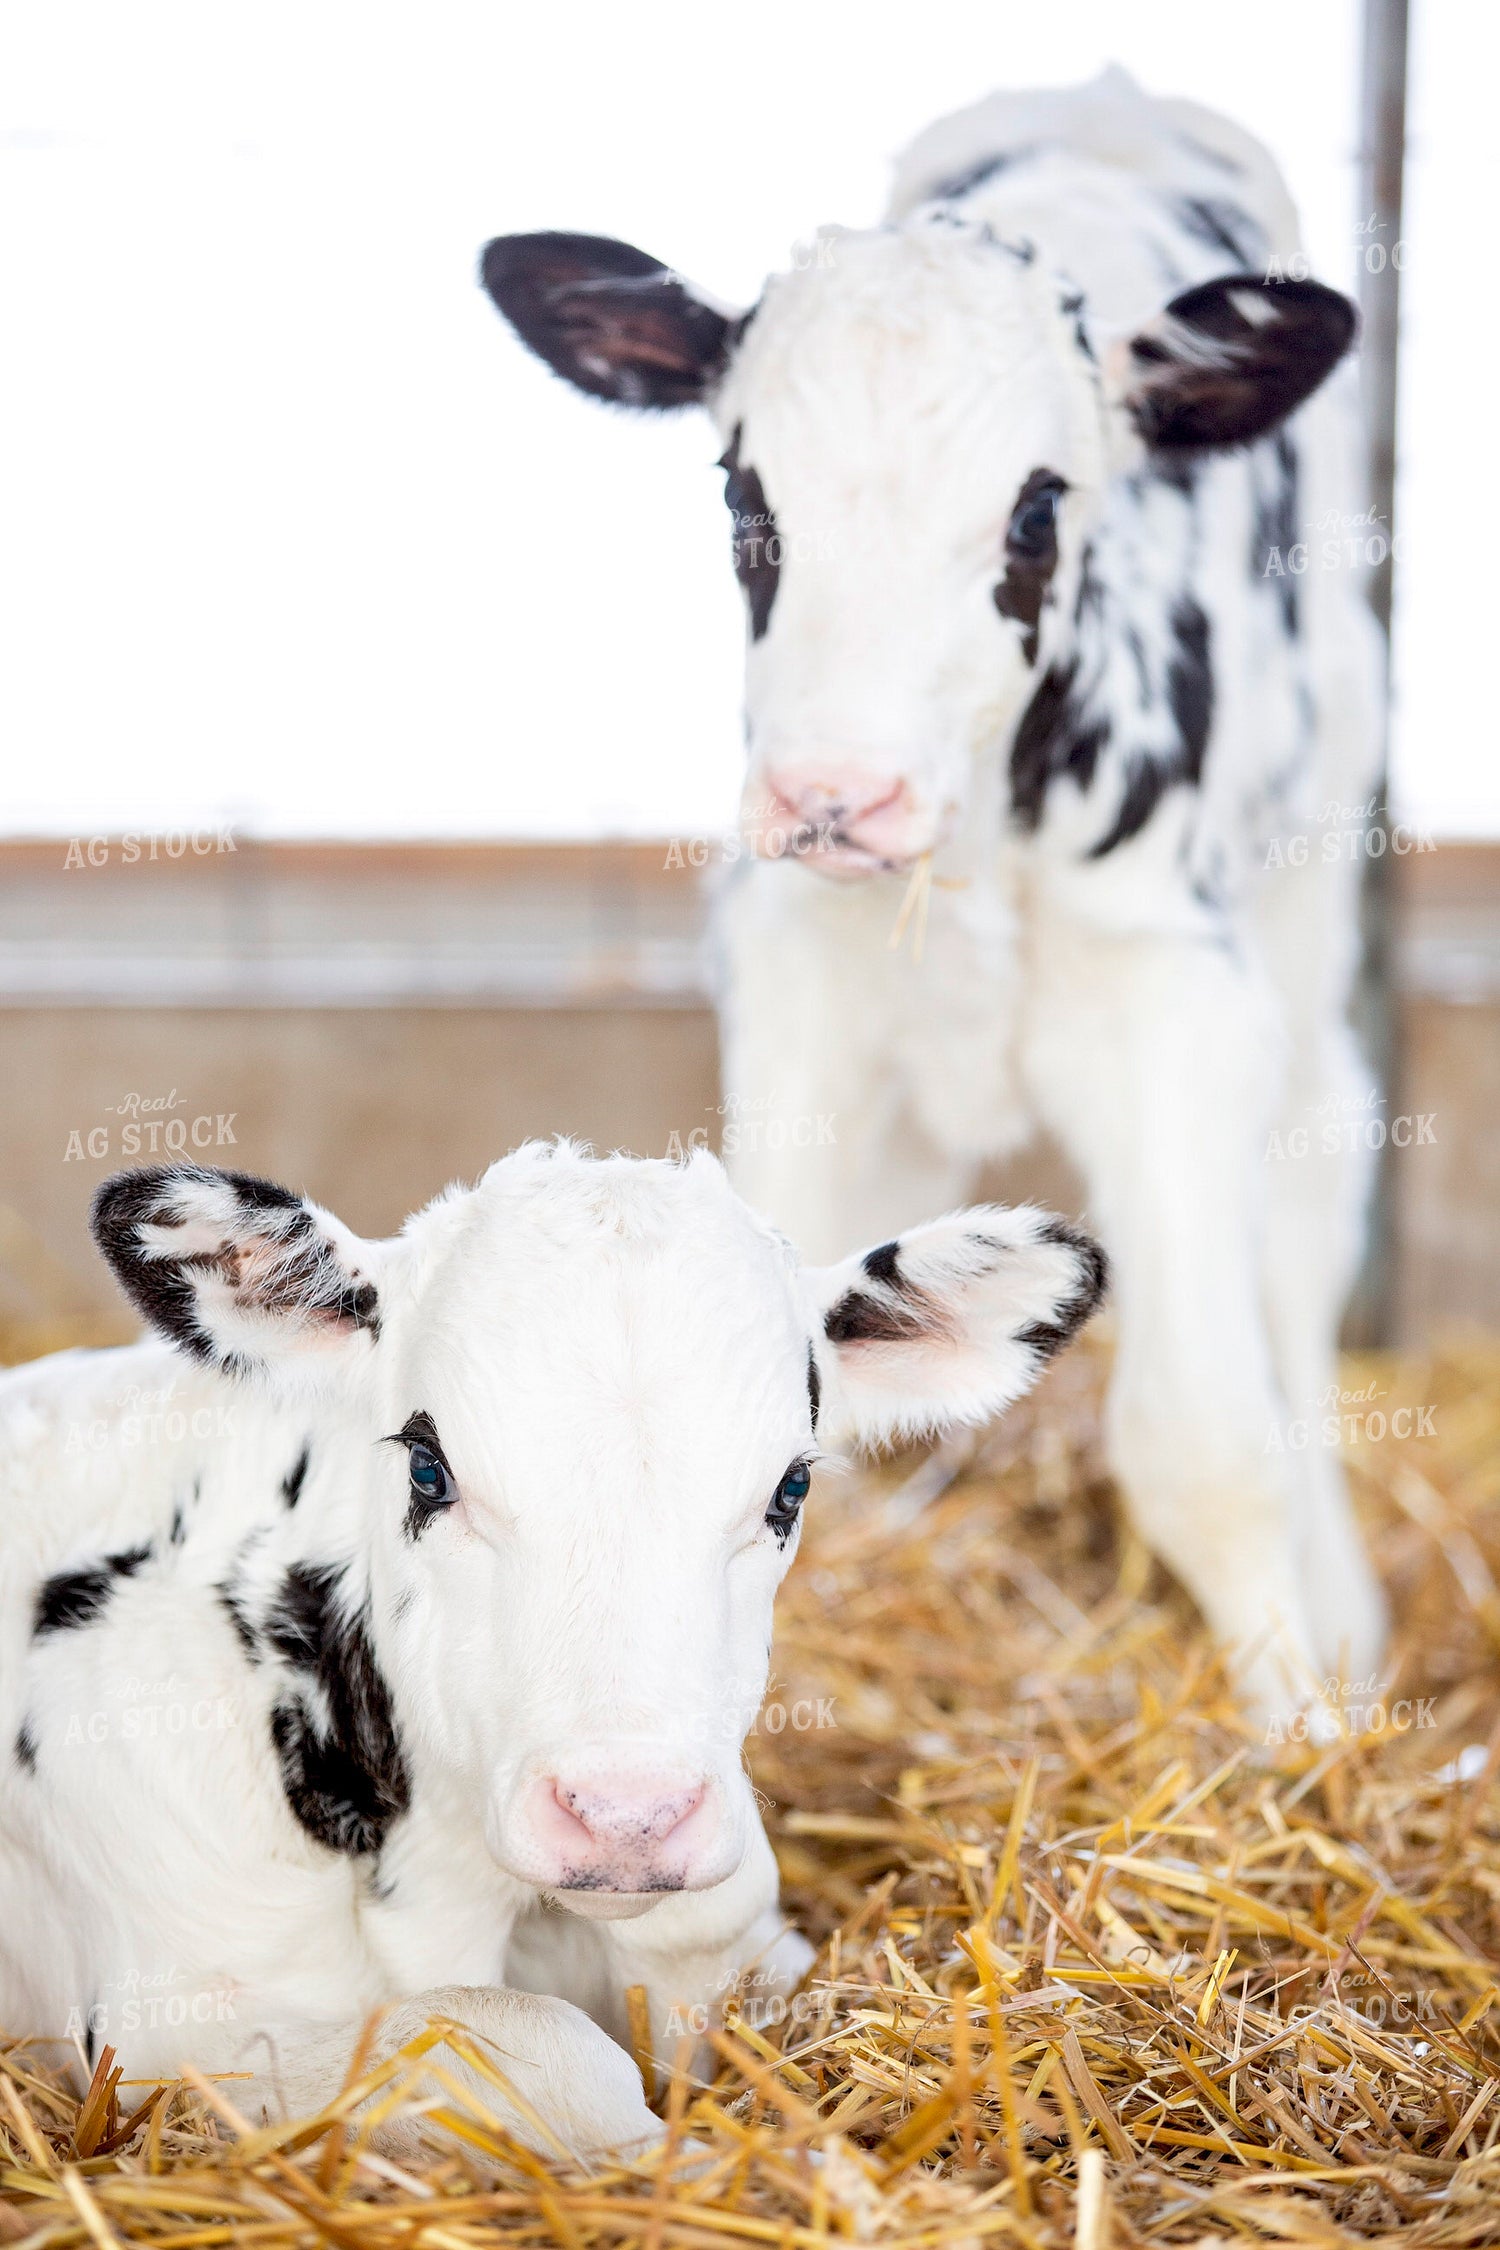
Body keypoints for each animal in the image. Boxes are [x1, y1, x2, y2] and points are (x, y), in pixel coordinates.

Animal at [0, 1145, 1104, 2159]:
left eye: (790, 1488)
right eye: (428, 1468)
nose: (627, 1816)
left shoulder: (734, 1935)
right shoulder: (172, 2033)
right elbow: (518, 2041)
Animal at [478, 67, 1389, 1715]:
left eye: (1037, 511)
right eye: (743, 490)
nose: (836, 794)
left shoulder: (1169, 1001)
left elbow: (1203, 1443)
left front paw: (1295, 1730)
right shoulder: (800, 976)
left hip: (1308, 877)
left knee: (1308, 1181)